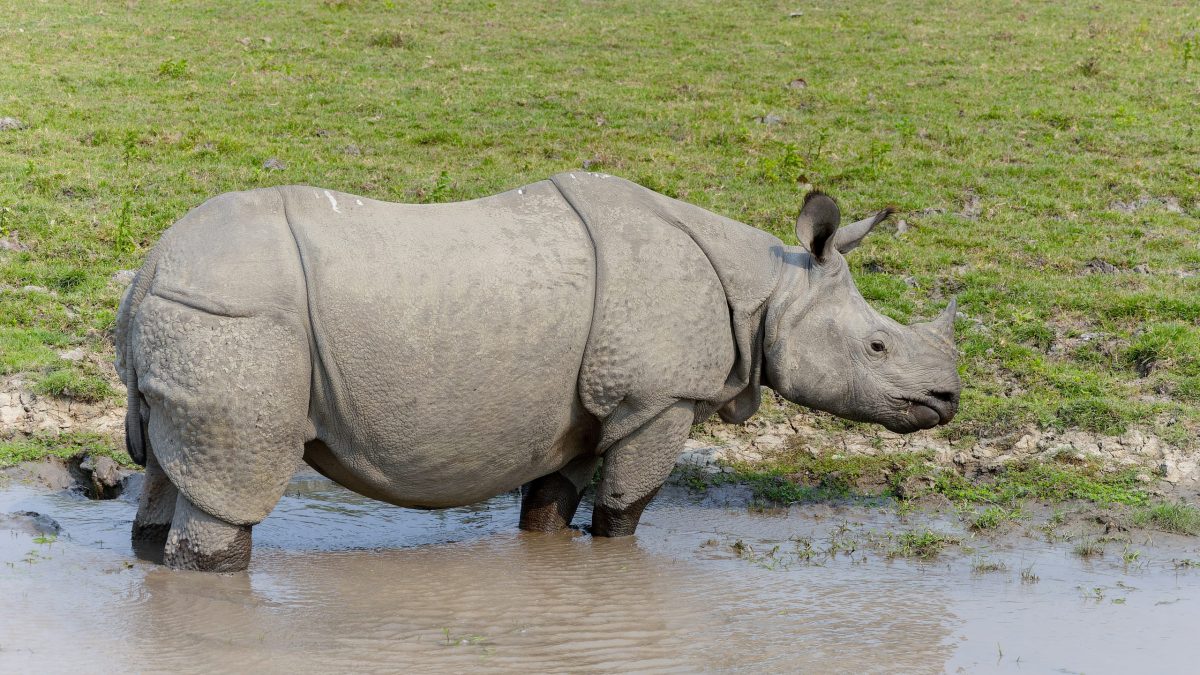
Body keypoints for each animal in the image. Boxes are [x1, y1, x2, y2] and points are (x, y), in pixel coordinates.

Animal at [114, 172, 960, 572]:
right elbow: (624, 512)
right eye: (878, 348)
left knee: (167, 472)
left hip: (196, 317)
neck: (771, 286)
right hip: (236, 318)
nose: (947, 398)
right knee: (231, 494)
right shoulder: (659, 398)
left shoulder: (590, 406)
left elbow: (552, 507)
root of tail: (149, 268)